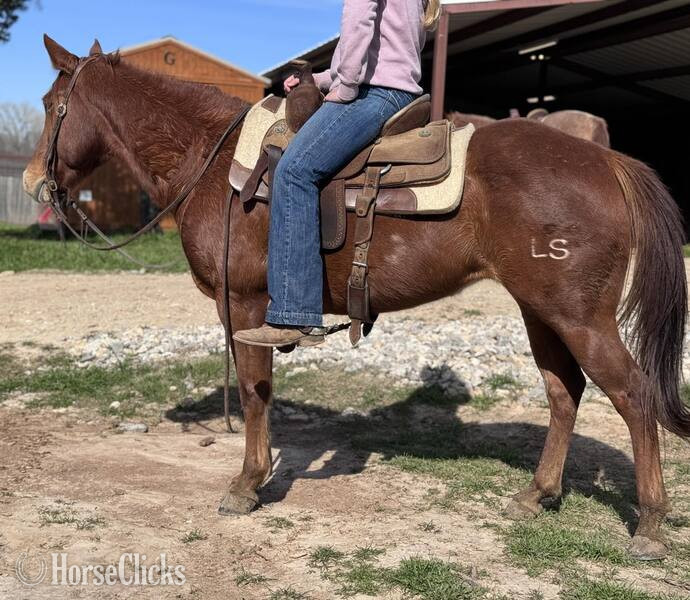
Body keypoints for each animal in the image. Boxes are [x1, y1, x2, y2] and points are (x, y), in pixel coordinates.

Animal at [23, 37, 689, 560]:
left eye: (53, 106)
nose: (33, 182)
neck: (213, 164)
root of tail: (608, 160)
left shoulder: (245, 307)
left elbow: (255, 392)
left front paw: (247, 484)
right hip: (541, 311)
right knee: (564, 391)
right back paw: (537, 494)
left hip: (580, 317)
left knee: (633, 397)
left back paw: (650, 527)